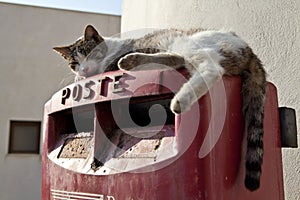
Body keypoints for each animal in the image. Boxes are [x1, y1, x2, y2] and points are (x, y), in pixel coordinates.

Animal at [53, 25, 264, 191]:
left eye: (90, 53)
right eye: (74, 63)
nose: (84, 69)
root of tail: (249, 51)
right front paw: (78, 77)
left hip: (191, 44)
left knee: (210, 69)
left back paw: (178, 100)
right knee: (177, 59)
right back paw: (132, 60)